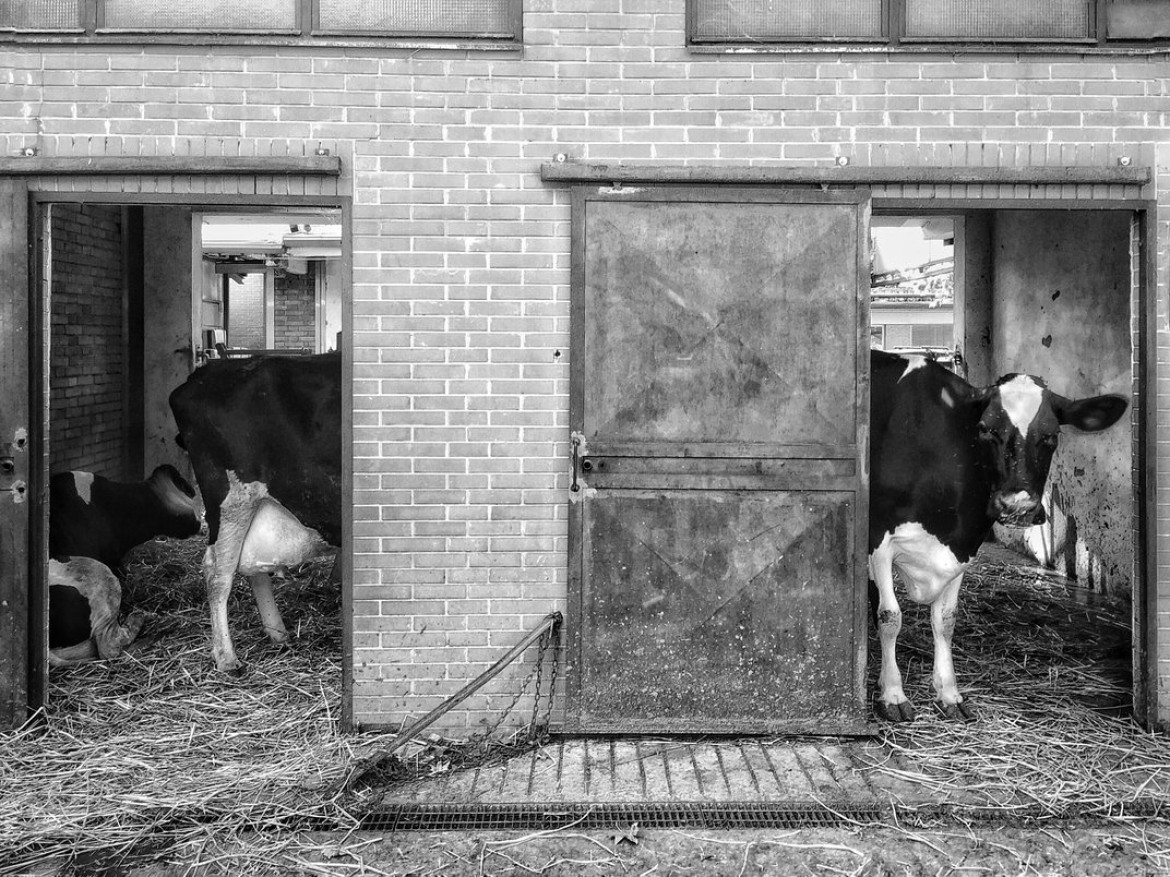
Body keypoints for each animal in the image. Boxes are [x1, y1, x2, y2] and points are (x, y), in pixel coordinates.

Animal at [170, 353, 341, 678]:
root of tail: (203, 373)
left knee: (251, 568)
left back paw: (278, 634)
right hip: (232, 500)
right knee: (218, 573)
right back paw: (227, 658)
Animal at [870, 353, 1123, 729]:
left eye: (1051, 436)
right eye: (987, 429)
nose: (1016, 505)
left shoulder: (963, 544)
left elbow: (945, 620)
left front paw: (949, 693)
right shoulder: (879, 539)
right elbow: (890, 617)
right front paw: (893, 694)